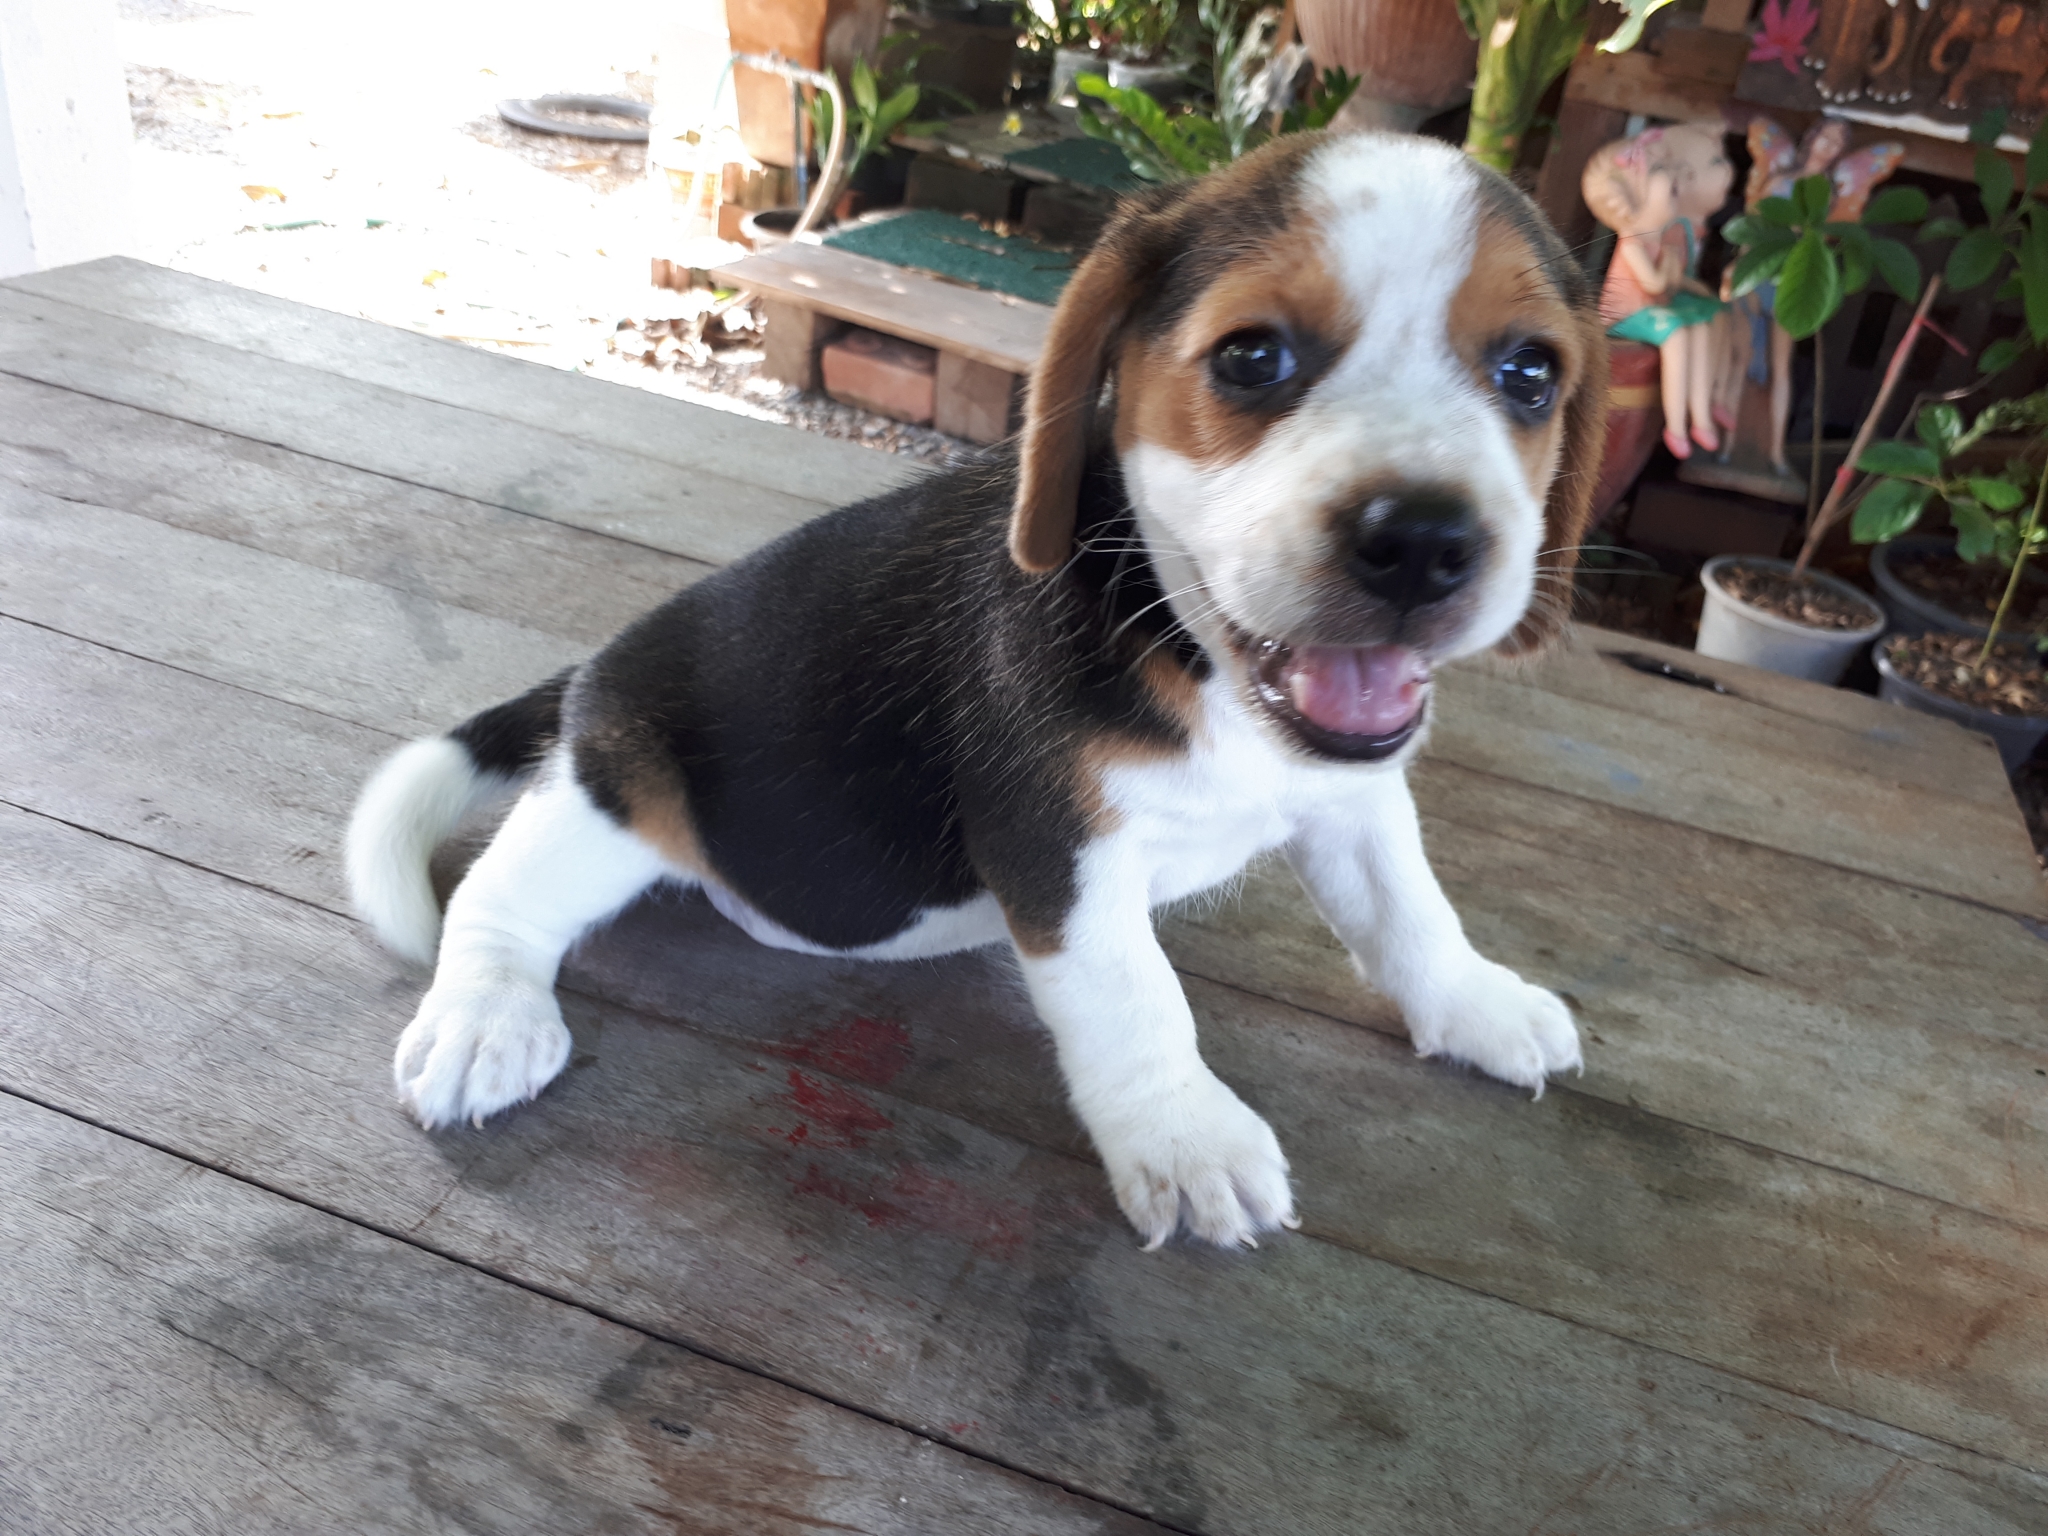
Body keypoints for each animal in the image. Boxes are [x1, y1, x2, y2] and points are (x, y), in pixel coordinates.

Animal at [347, 129, 1609, 1250]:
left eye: (1529, 374)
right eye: (1252, 359)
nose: (1424, 544)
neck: (1188, 648)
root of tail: (591, 680)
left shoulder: (1351, 800)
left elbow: (1408, 910)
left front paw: (1473, 1002)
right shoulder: (1059, 852)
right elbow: (1139, 1003)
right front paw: (1186, 1142)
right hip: (620, 789)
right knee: (501, 897)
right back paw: (484, 1019)